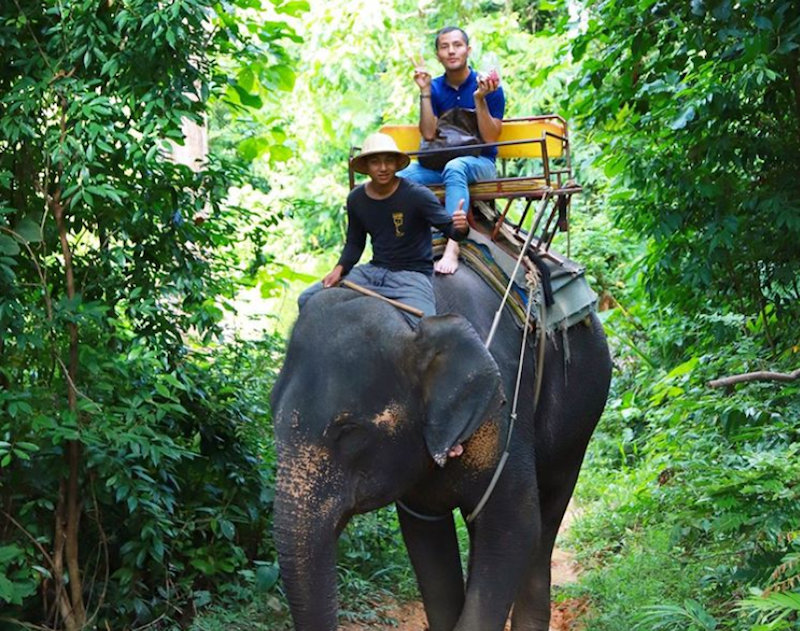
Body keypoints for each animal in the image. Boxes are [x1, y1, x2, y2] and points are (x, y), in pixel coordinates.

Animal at [272, 260, 608, 631]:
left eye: (349, 431)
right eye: (273, 414)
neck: (414, 320)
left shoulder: (503, 409)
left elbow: (517, 525)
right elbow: (425, 539)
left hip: (582, 413)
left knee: (548, 515)